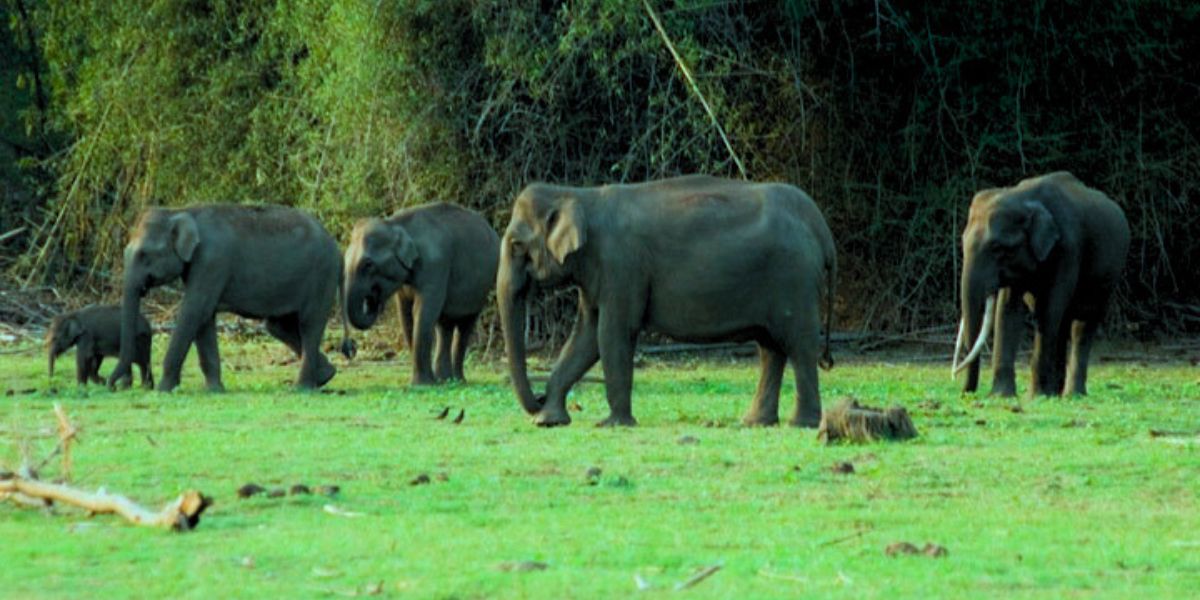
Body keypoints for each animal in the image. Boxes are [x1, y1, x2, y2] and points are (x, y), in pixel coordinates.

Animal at [108, 204, 354, 392]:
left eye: (144, 255)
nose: (114, 386)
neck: (182, 211)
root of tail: (338, 249)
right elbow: (204, 319)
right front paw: (214, 390)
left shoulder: (211, 261)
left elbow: (194, 312)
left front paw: (163, 389)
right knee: (278, 326)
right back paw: (326, 375)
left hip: (321, 276)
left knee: (309, 325)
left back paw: (301, 388)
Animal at [343, 202, 500, 385]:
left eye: (368, 264)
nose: (351, 348)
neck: (395, 224)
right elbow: (405, 314)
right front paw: (425, 383)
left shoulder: (435, 265)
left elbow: (422, 312)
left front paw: (422, 385)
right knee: (444, 325)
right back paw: (445, 379)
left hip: (482, 287)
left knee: (465, 325)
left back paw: (458, 380)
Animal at [497, 175, 837, 428]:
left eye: (516, 245)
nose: (538, 398)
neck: (578, 195)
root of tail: (821, 227)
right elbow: (586, 337)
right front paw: (548, 421)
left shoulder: (622, 265)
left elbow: (613, 333)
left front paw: (613, 424)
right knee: (770, 348)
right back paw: (754, 422)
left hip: (794, 278)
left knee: (798, 344)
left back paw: (801, 423)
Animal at [952, 172, 1129, 397]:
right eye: (962, 241)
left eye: (998, 248)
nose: (967, 392)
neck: (1022, 197)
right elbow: (1007, 311)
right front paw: (1002, 395)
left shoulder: (1068, 249)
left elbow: (1050, 309)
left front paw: (1034, 396)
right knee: (1062, 325)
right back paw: (1056, 392)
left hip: (1108, 278)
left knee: (1082, 324)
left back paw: (1072, 394)